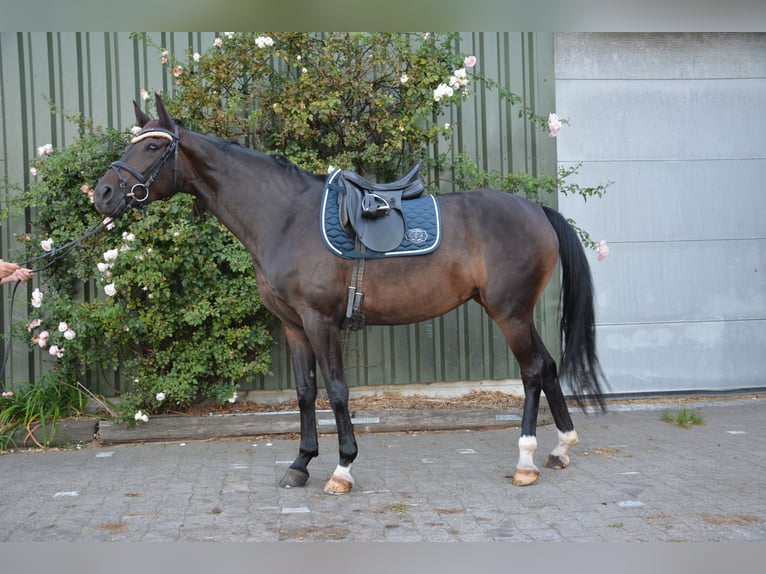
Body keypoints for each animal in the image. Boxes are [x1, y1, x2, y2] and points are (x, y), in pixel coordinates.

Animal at [94, 94, 608, 496]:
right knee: (548, 367)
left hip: (510, 313)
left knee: (532, 371)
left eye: (154, 146)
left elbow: (338, 391)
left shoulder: (320, 320)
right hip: (513, 312)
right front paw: (300, 464)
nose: (101, 194)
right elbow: (305, 393)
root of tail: (537, 211)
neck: (285, 217)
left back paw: (525, 461)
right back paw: (560, 449)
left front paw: (342, 468)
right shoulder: (293, 325)